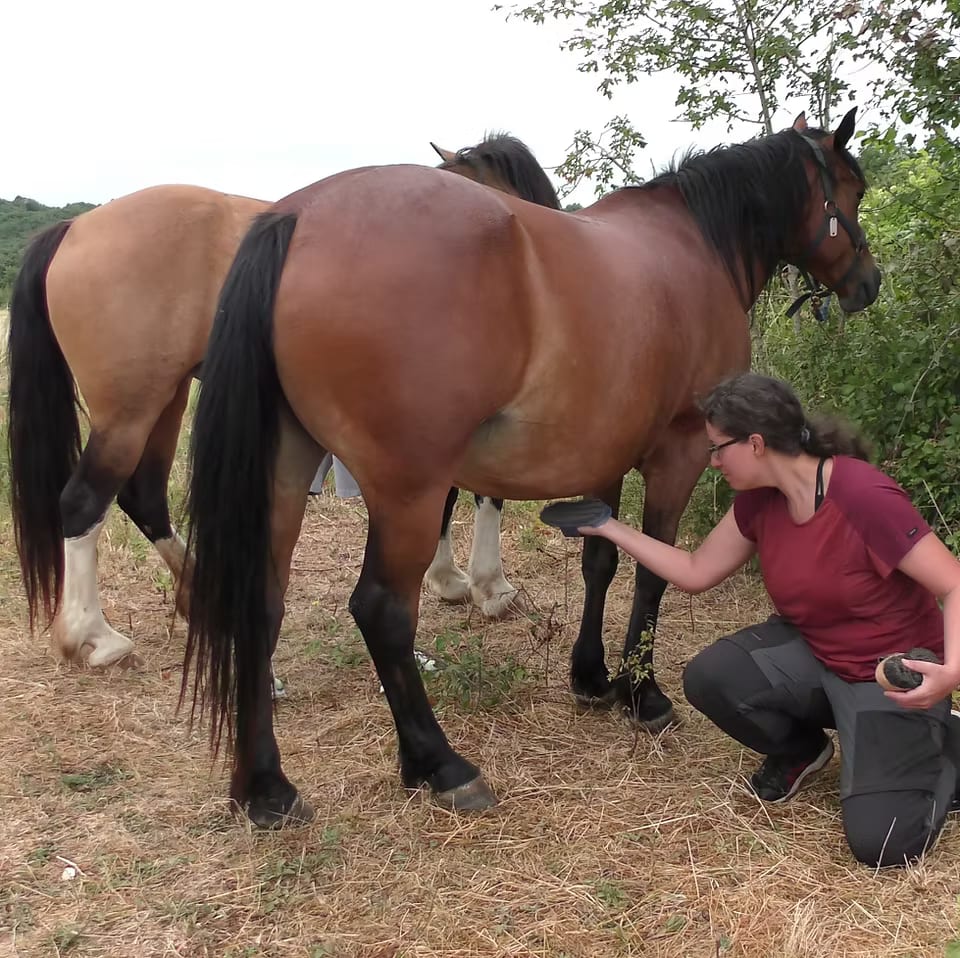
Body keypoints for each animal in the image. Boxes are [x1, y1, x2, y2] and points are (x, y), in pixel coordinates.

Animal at [7, 134, 558, 671]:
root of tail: (74, 226)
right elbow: (477, 495)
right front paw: (486, 585)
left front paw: (450, 579)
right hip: (128, 412)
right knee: (83, 502)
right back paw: (94, 637)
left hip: (164, 398)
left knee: (142, 497)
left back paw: (198, 599)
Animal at [184, 108, 880, 826]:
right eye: (852, 190)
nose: (869, 282)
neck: (694, 243)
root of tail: (296, 217)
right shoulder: (680, 452)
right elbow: (654, 572)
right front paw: (642, 693)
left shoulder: (604, 456)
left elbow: (601, 562)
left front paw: (593, 676)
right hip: (407, 492)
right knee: (382, 612)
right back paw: (441, 765)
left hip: (283, 476)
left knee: (259, 605)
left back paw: (267, 786)